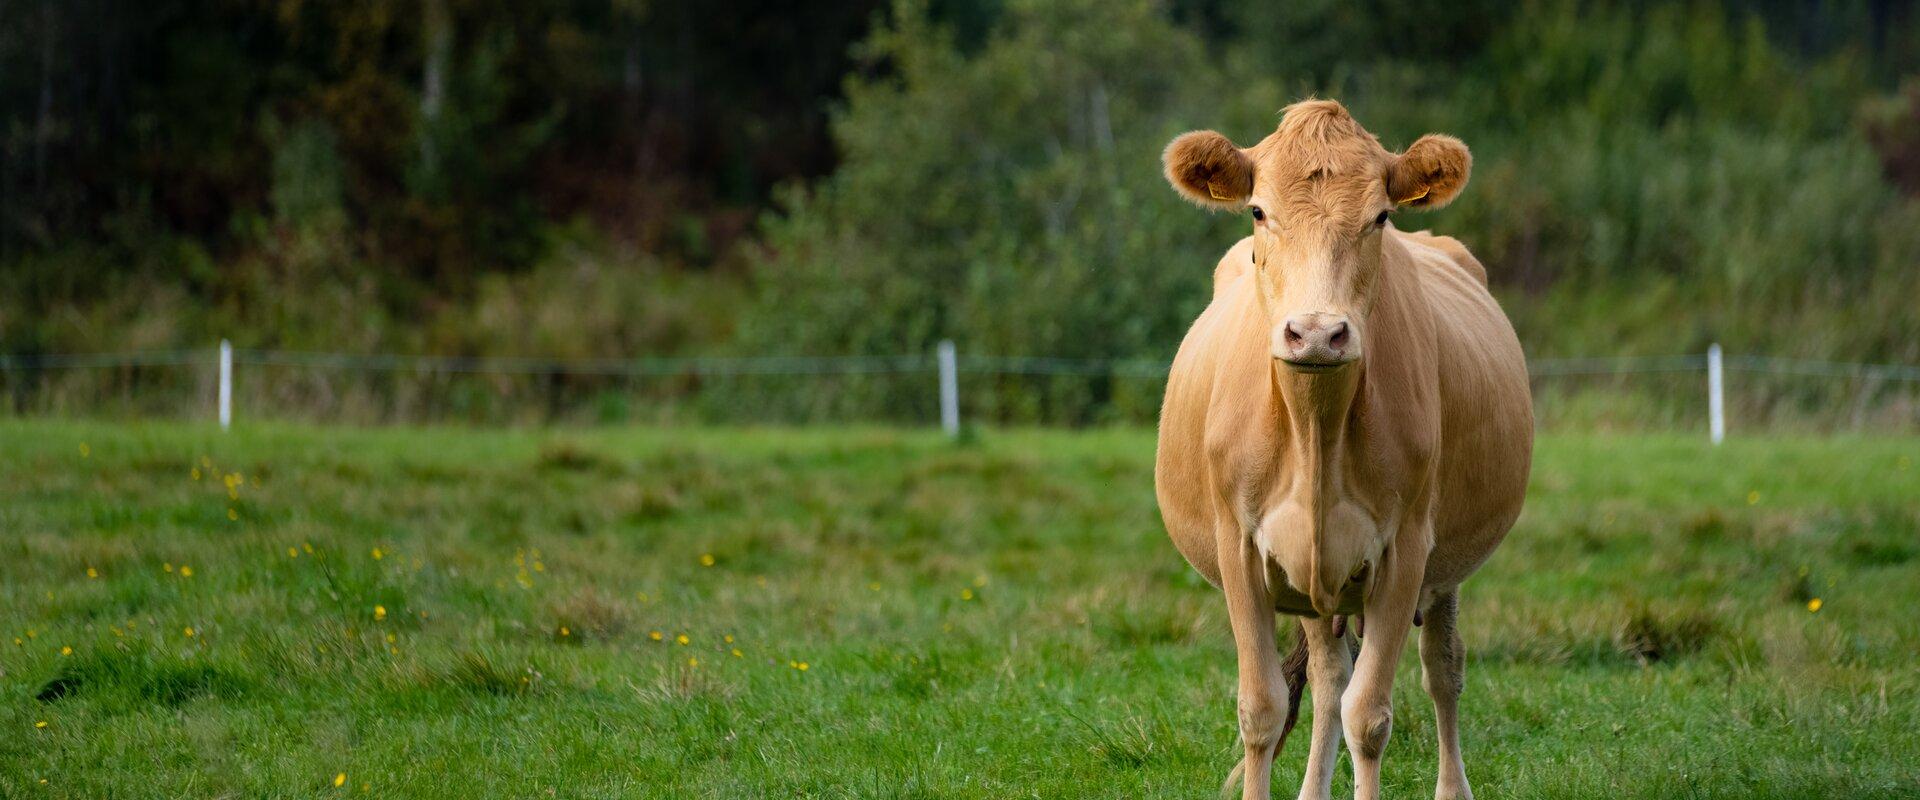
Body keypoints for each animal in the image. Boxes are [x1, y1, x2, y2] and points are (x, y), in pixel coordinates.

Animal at [1144, 101, 1536, 798]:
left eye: (1380, 215)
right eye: (1257, 211)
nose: (1317, 332)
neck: (1315, 431)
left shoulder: (1405, 551)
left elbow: (1370, 716)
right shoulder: (1238, 547)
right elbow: (1263, 709)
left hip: (1442, 568)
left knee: (1442, 670)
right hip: (1312, 581)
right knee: (1329, 679)